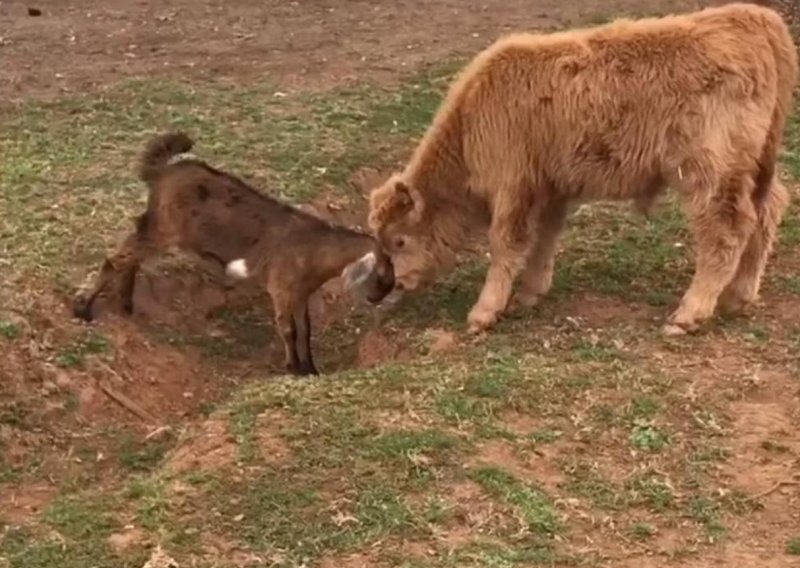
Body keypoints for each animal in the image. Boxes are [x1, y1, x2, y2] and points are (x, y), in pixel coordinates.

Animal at [76, 131, 396, 374]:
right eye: (381, 275)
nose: (377, 298)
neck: (313, 249)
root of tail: (164, 171)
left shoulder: (300, 294)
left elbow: (305, 329)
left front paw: (310, 368)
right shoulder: (281, 288)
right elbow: (288, 329)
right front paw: (293, 368)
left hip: (155, 228)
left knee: (130, 258)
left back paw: (125, 303)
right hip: (164, 229)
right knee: (116, 260)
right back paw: (84, 310)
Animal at [366, 2, 796, 336]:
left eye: (399, 241)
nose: (380, 289)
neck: (472, 118)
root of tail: (750, 19)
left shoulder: (513, 189)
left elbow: (506, 244)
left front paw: (483, 312)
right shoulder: (550, 189)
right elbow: (543, 238)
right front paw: (530, 293)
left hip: (710, 176)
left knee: (727, 231)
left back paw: (689, 313)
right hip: (754, 172)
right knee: (768, 209)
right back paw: (738, 296)